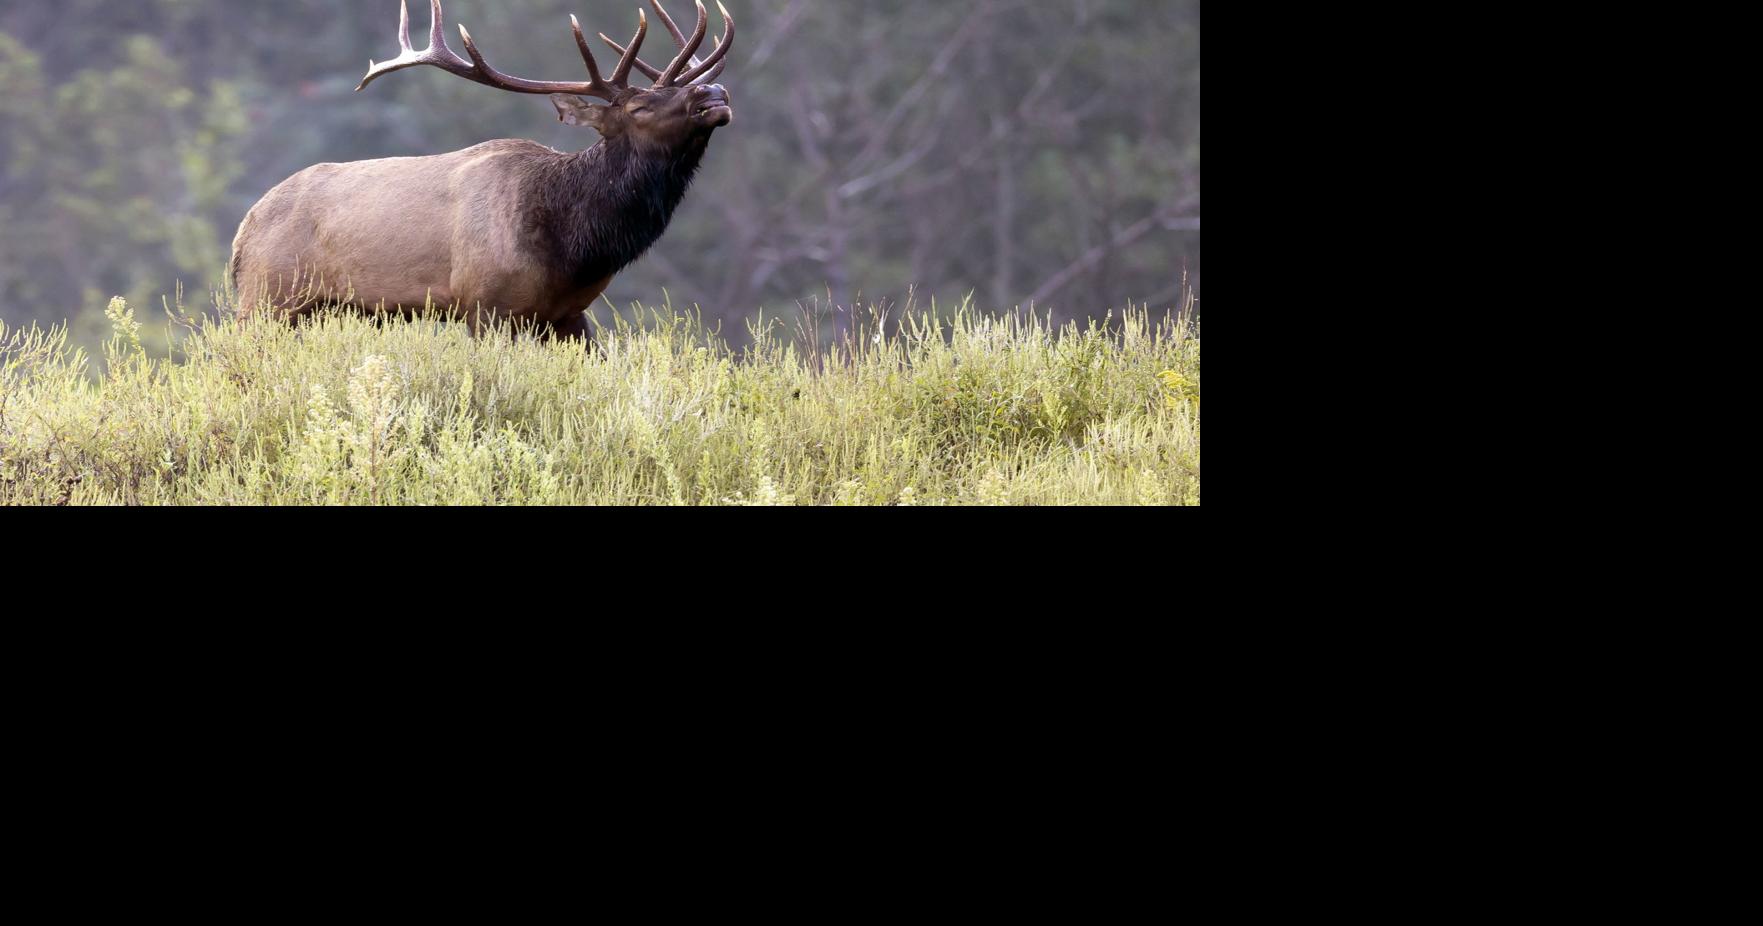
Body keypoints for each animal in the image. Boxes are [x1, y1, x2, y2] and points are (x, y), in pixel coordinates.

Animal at [229, 0, 734, 339]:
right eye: (640, 106)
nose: (714, 93)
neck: (574, 245)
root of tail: (243, 231)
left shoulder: (568, 314)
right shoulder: (484, 305)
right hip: (268, 298)